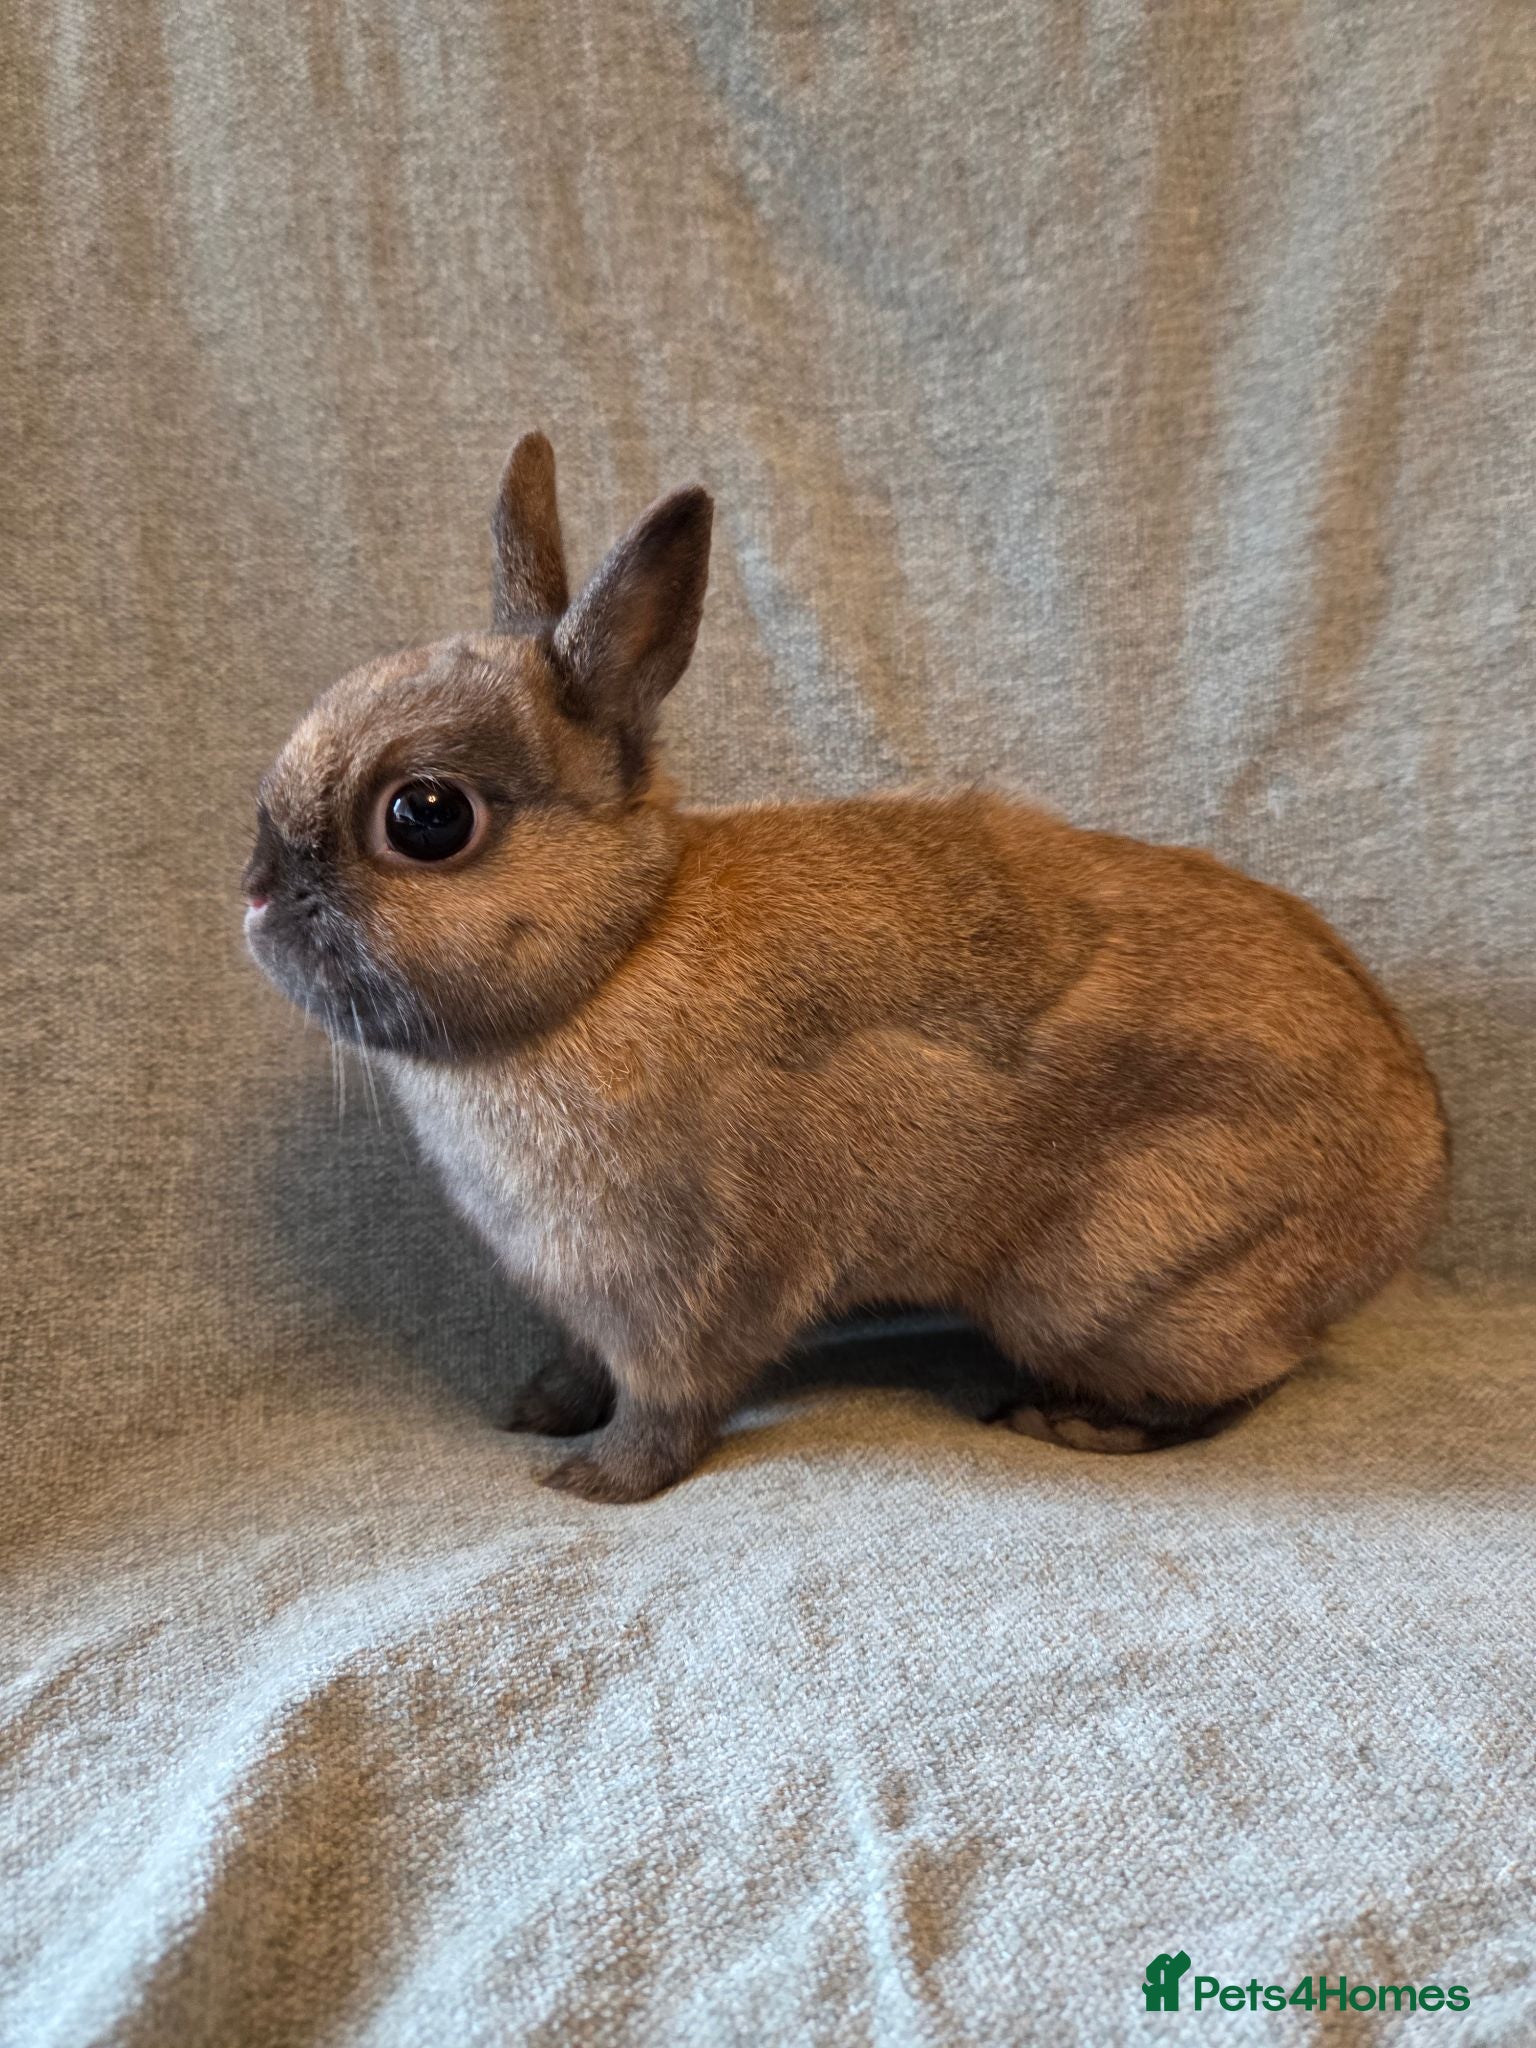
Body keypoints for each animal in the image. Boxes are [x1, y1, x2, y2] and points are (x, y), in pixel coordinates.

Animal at [244, 431, 1449, 1502]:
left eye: (427, 816)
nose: (255, 895)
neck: (616, 953)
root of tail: (1416, 1166)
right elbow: (589, 1365)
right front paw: (537, 1407)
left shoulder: (684, 1289)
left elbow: (670, 1402)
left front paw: (594, 1480)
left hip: (1115, 1288)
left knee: (1244, 1381)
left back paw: (1076, 1422)